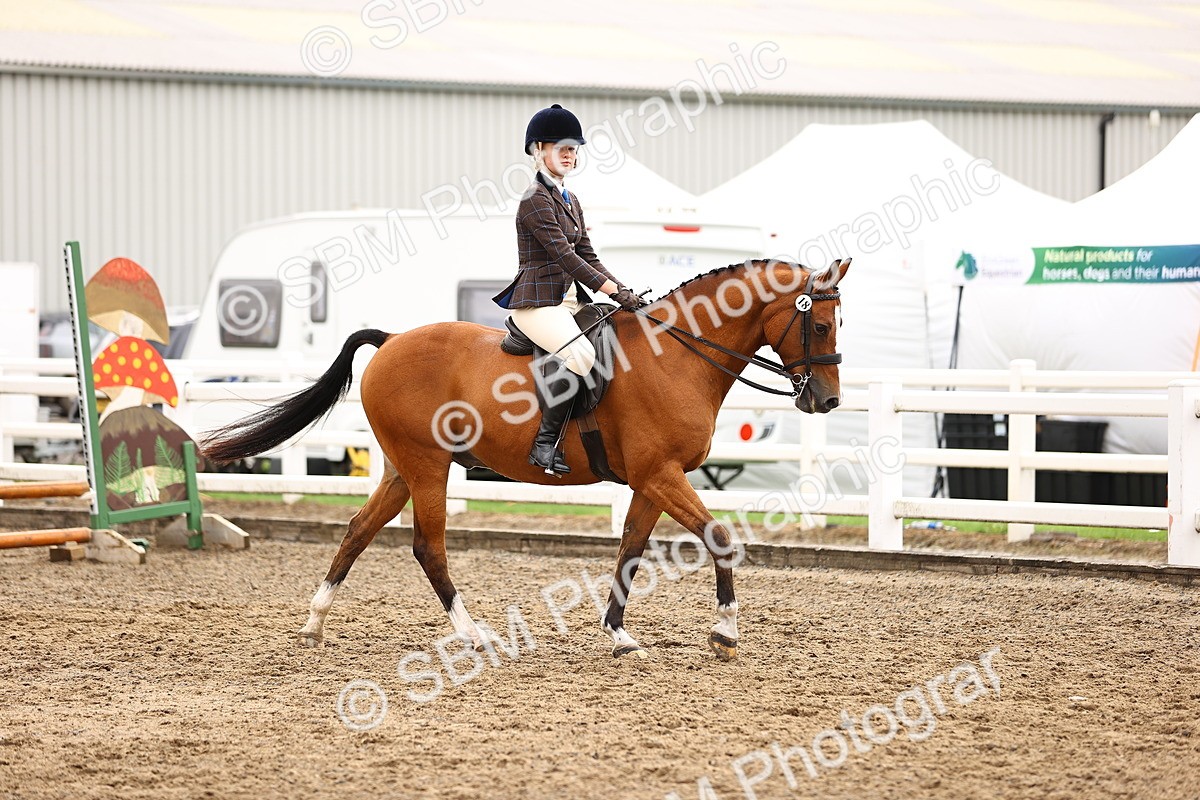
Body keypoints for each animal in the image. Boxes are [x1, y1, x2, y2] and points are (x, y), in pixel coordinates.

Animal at [200, 257, 850, 661]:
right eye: (819, 323)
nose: (826, 401)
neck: (676, 355)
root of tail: (391, 341)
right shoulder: (661, 475)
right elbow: (718, 537)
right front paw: (724, 631)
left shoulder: (649, 481)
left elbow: (630, 550)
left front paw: (618, 635)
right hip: (428, 467)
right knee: (428, 548)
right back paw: (474, 634)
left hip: (401, 469)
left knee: (358, 530)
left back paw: (315, 621)